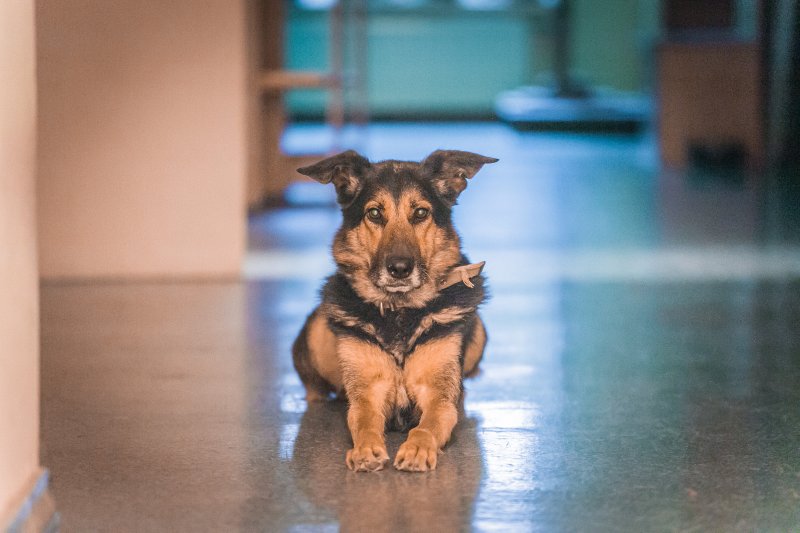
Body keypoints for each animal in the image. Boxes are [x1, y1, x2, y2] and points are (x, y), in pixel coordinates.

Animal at [290, 148, 496, 472]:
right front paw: (365, 448)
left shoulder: (438, 397)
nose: (399, 269)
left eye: (421, 213)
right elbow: (363, 421)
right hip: (316, 332)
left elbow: (429, 423)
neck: (400, 310)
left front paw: (418, 448)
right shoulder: (367, 396)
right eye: (374, 213)